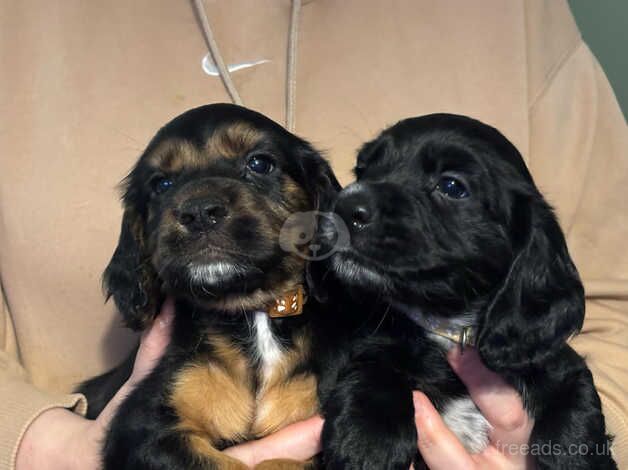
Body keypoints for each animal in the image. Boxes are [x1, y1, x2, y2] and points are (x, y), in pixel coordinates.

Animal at [312, 114, 616, 470]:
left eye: (452, 187)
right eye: (363, 170)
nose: (344, 206)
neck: (448, 325)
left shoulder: (557, 364)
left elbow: (575, 406)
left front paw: (575, 457)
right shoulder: (374, 344)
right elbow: (373, 366)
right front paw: (367, 443)